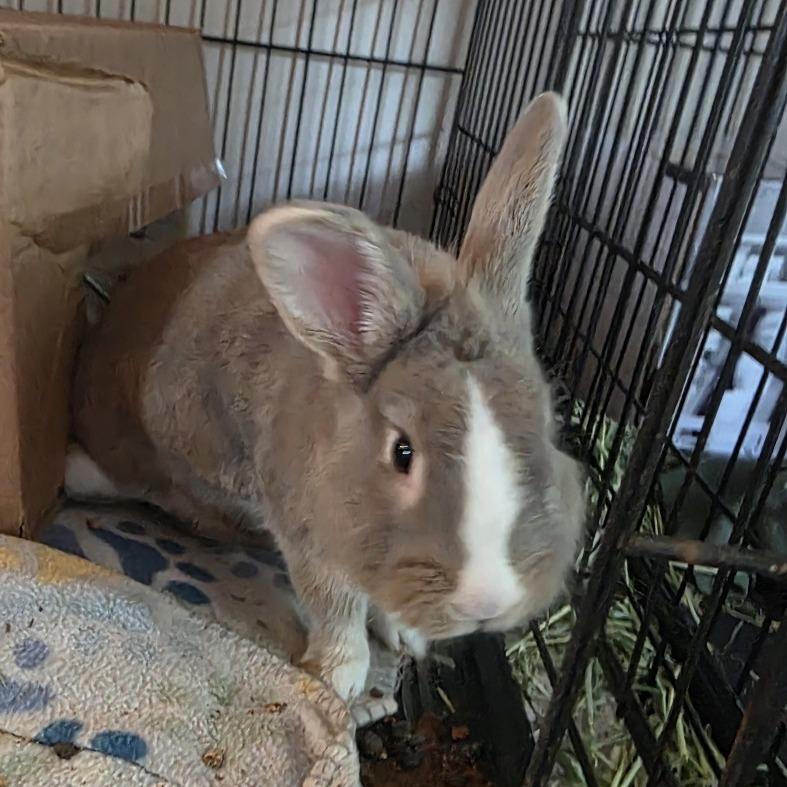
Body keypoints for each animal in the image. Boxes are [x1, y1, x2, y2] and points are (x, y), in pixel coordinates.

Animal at [67, 91, 585, 704]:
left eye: (546, 426)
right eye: (402, 453)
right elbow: (333, 605)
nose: (489, 600)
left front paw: (405, 634)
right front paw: (336, 678)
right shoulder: (309, 530)